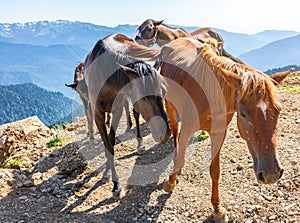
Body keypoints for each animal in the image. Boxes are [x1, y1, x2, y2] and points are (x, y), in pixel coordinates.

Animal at [156, 36, 292, 221]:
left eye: (278, 110)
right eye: (243, 114)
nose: (271, 174)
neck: (208, 93)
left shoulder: (219, 132)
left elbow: (215, 171)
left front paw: (217, 209)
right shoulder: (188, 128)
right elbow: (179, 155)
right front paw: (170, 183)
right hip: (170, 105)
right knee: (175, 131)